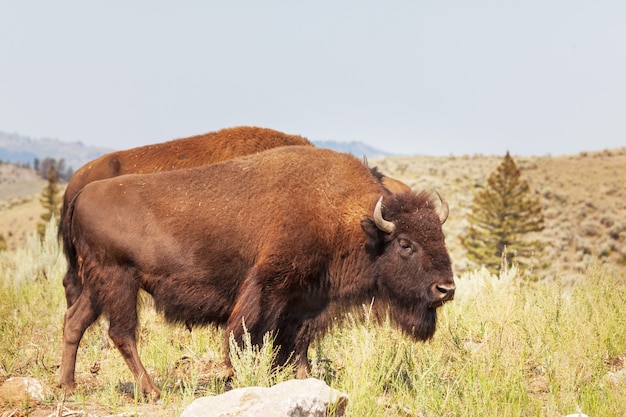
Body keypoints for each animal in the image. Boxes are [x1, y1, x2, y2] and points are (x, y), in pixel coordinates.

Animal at [58, 145, 454, 398]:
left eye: (440, 234)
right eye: (405, 243)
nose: (446, 289)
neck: (345, 217)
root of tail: (81, 195)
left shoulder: (307, 301)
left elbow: (297, 345)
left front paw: (302, 379)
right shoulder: (269, 289)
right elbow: (249, 337)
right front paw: (238, 378)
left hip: (98, 285)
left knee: (75, 322)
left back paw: (69, 386)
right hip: (118, 280)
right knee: (122, 332)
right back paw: (152, 391)